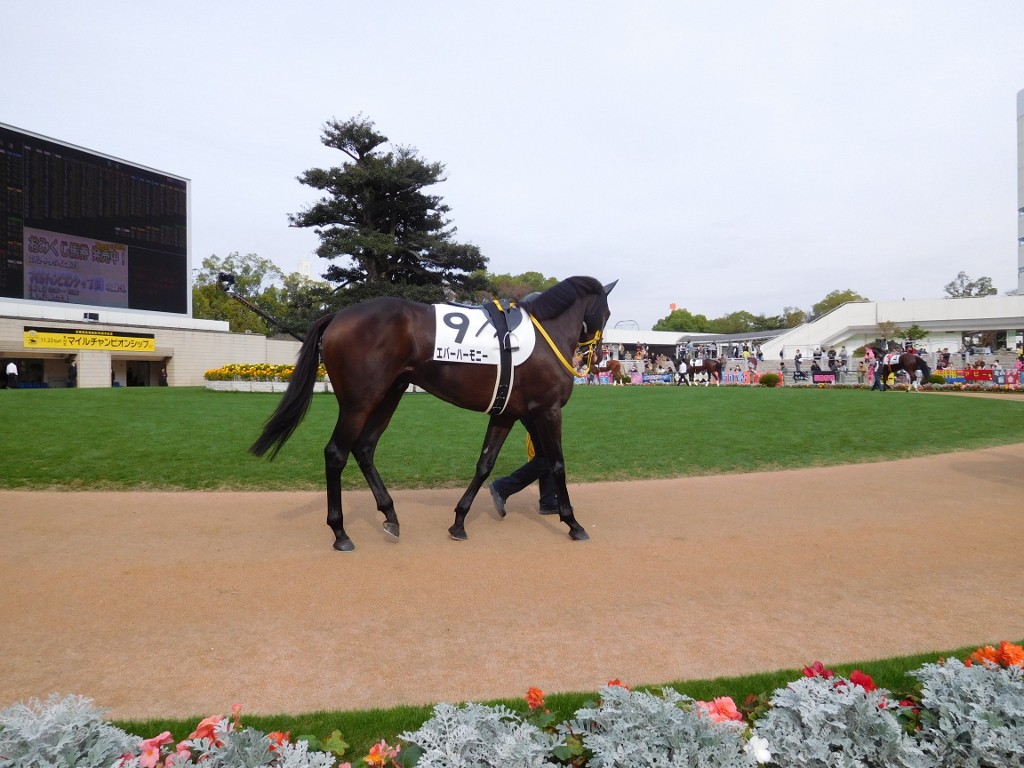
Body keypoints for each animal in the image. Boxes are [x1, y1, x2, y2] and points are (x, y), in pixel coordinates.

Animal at [250, 276, 610, 552]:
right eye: (606, 312)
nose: (595, 354)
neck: (544, 338)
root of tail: (336, 316)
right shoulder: (548, 411)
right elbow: (557, 463)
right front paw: (572, 522)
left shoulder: (507, 412)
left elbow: (485, 464)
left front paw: (459, 521)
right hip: (358, 402)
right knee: (336, 453)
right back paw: (340, 533)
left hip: (389, 394)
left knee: (364, 448)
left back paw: (390, 515)